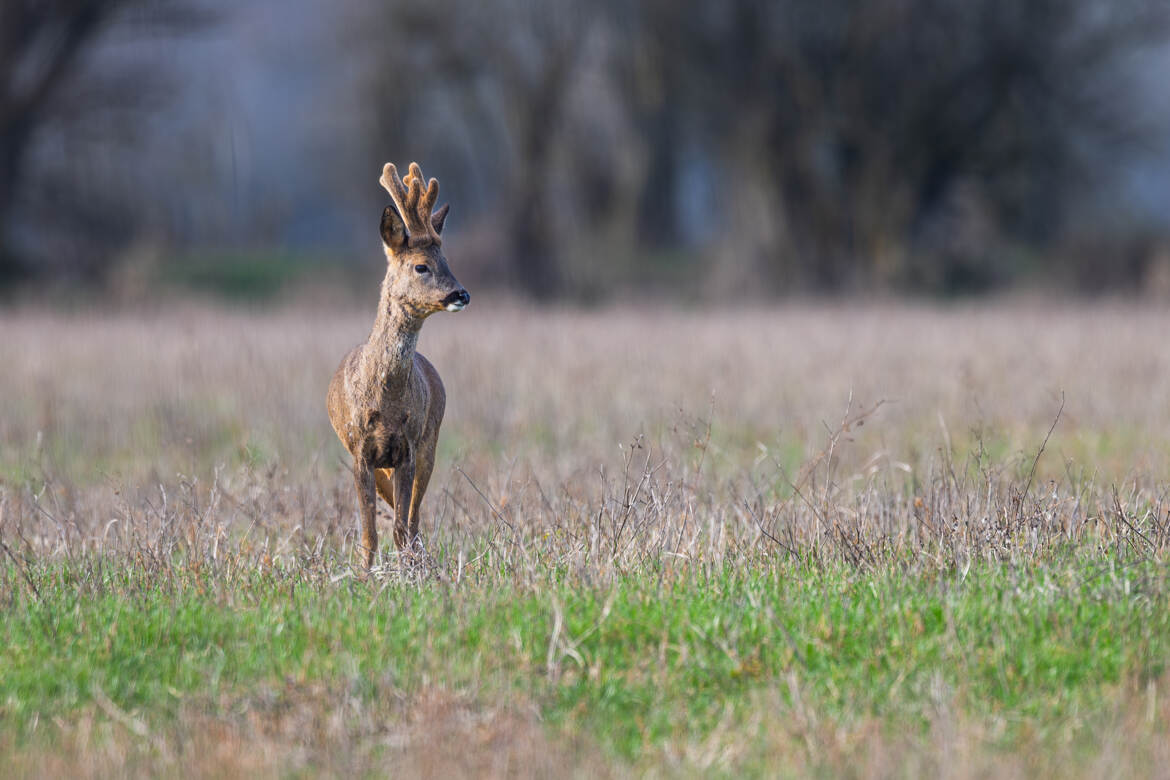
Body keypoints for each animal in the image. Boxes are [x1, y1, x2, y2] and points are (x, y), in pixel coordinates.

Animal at [327, 163, 467, 568]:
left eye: (448, 262)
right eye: (421, 266)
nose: (461, 294)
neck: (385, 398)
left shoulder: (408, 446)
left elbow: (402, 526)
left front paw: (407, 572)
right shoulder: (359, 451)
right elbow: (369, 534)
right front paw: (364, 574)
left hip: (430, 442)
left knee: (414, 520)